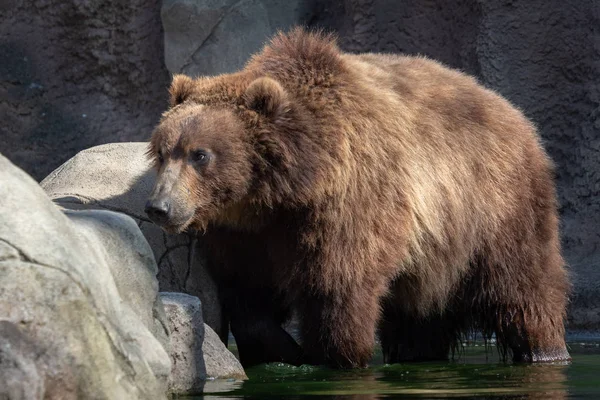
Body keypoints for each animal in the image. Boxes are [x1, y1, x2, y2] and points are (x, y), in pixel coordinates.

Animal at [144, 27, 568, 366]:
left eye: (200, 154)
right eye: (161, 151)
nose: (159, 207)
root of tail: (516, 115)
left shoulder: (351, 203)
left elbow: (339, 288)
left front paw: (331, 355)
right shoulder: (242, 232)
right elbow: (249, 295)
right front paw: (280, 349)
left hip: (496, 207)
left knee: (524, 290)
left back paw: (545, 350)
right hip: (434, 254)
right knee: (420, 318)